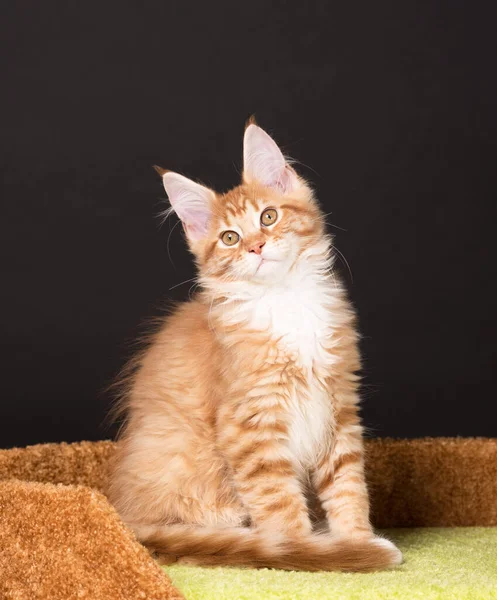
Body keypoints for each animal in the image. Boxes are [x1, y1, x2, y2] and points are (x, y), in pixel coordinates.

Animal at [106, 118, 402, 572]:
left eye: (269, 216)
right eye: (229, 238)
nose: (256, 247)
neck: (286, 299)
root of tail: (128, 520)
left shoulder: (339, 407)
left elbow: (348, 486)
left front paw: (355, 541)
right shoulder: (249, 423)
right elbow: (280, 506)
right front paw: (307, 553)